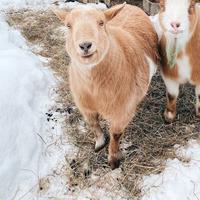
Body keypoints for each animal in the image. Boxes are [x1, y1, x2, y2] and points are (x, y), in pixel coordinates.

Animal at [52, 3, 159, 169]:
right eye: (68, 25)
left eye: (101, 23)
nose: (85, 45)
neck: (94, 87)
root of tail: (131, 5)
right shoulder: (85, 106)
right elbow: (93, 125)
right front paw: (100, 143)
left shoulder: (122, 111)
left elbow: (115, 134)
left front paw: (113, 159)